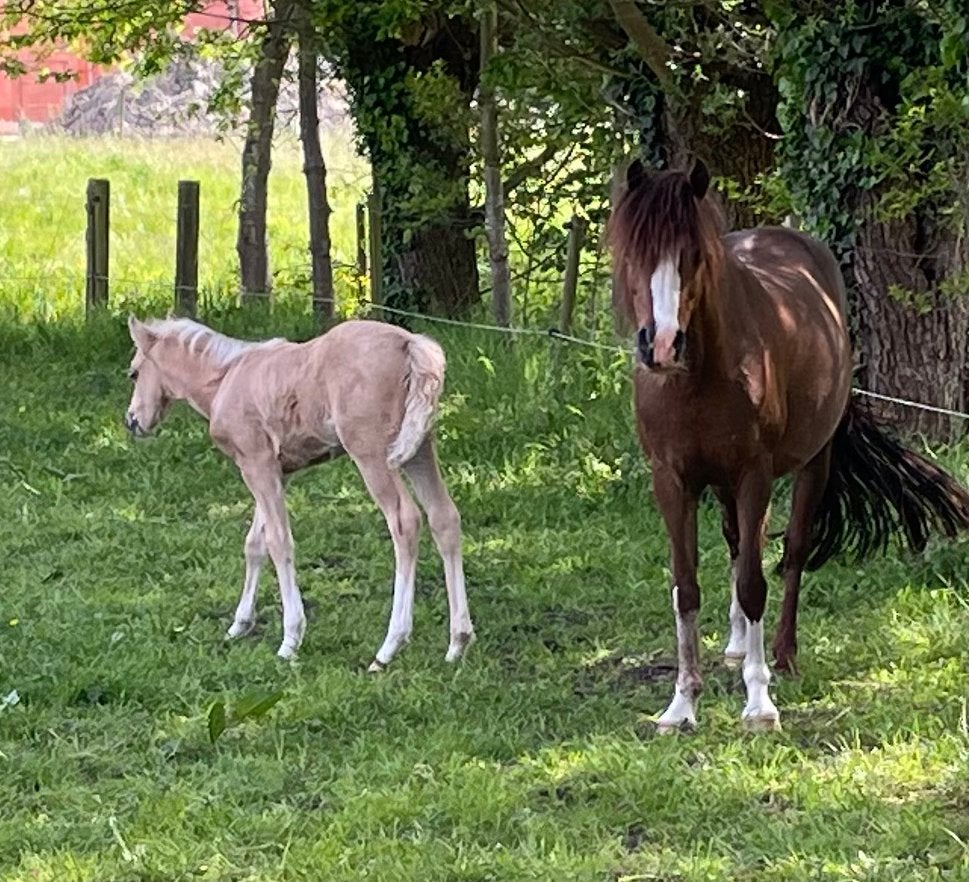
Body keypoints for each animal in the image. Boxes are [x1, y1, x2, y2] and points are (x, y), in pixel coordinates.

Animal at [123, 316, 474, 668]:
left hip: (372, 452)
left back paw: (389, 647)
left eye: (134, 373)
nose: (132, 421)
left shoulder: (256, 464)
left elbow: (279, 542)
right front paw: (240, 625)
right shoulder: (278, 472)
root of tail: (411, 343)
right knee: (444, 517)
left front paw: (290, 639)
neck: (225, 377)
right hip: (419, 448)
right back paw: (458, 641)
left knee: (405, 521)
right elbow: (255, 543)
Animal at [609, 158, 969, 732]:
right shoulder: (672, 479)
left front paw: (758, 701)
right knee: (738, 544)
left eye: (694, 256)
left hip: (810, 465)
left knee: (793, 551)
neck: (698, 377)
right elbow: (686, 587)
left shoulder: (754, 474)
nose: (662, 346)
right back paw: (737, 644)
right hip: (725, 484)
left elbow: (756, 582)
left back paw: (782, 653)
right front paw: (682, 704)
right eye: (634, 254)